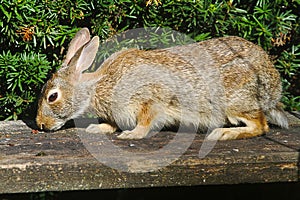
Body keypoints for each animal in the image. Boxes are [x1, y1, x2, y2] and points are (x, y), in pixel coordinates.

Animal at [35, 27, 288, 141]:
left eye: (52, 96)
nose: (41, 124)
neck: (96, 87)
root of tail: (274, 87)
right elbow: (112, 124)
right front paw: (97, 129)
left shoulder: (149, 100)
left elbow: (146, 122)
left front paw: (131, 135)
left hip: (237, 101)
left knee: (261, 126)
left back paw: (222, 134)